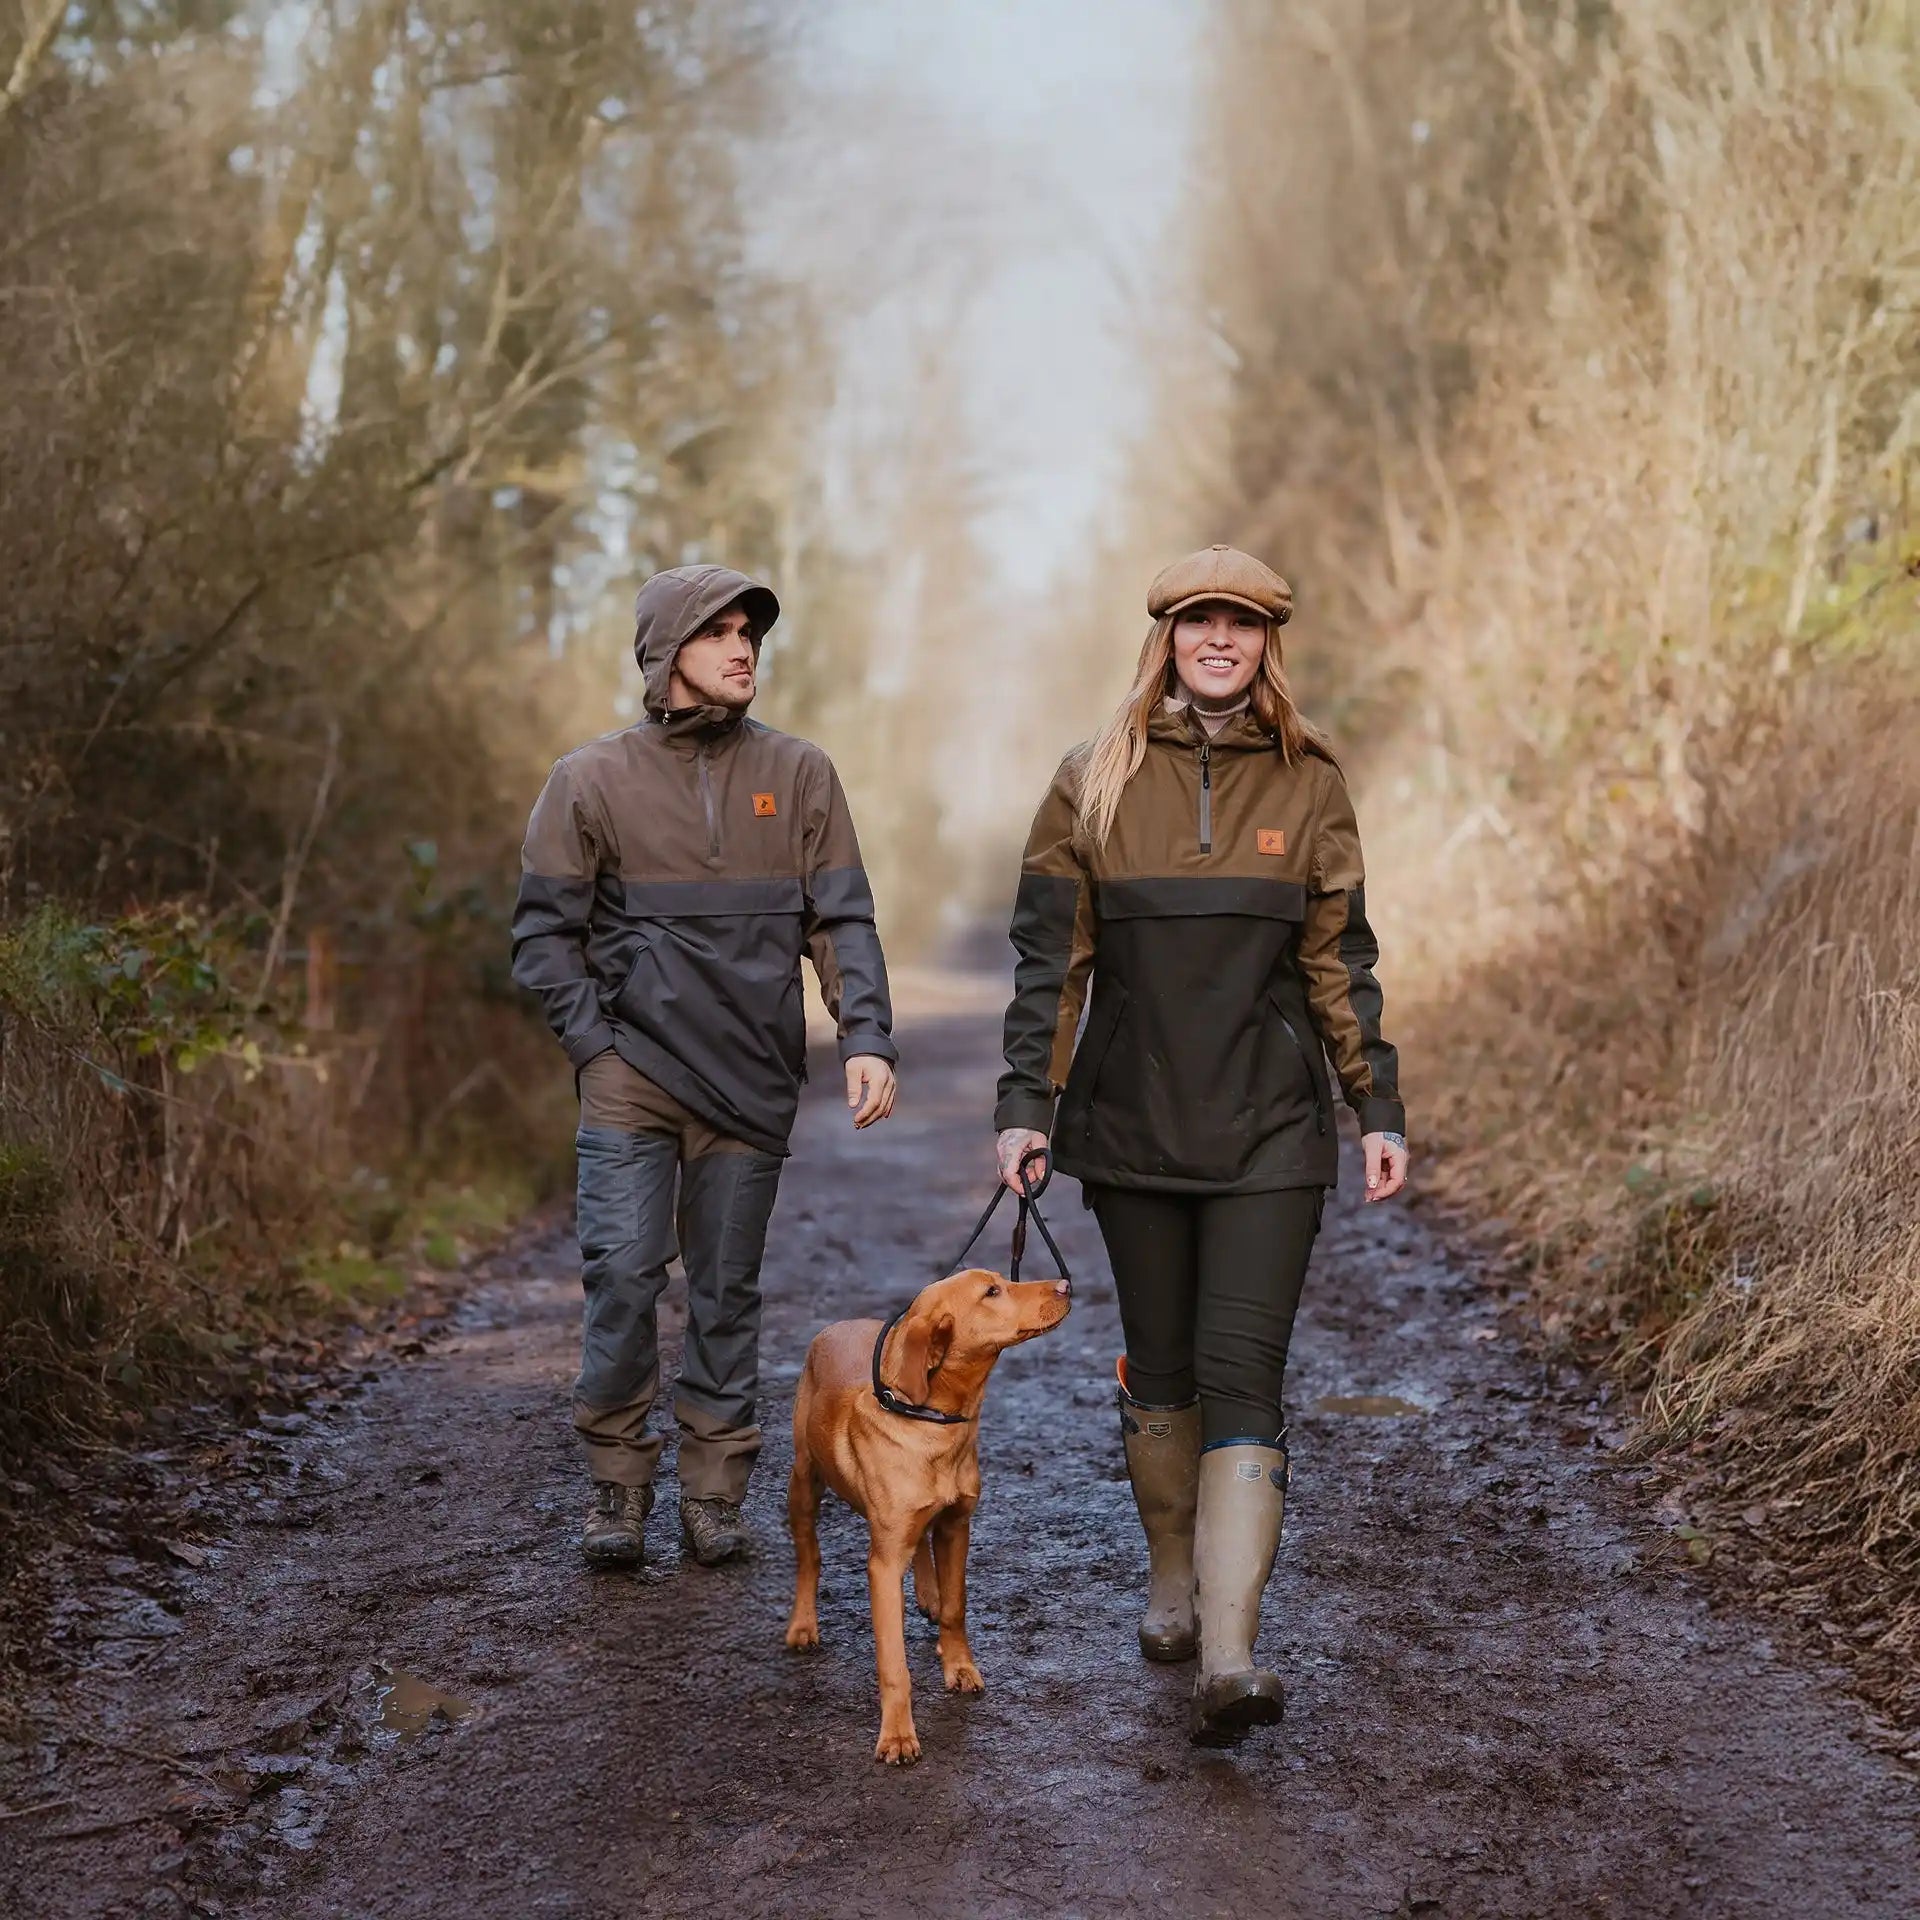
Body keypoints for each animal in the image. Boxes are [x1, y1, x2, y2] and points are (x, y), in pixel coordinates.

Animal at [787, 1267, 1075, 1758]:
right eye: (992, 1292)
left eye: (1002, 1279)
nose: (1065, 1285)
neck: (932, 1425)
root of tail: (840, 1323)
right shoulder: (882, 1565)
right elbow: (893, 1663)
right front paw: (898, 1736)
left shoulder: (957, 1526)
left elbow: (956, 1607)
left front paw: (959, 1667)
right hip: (803, 1482)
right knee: (810, 1556)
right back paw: (803, 1624)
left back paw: (928, 1594)